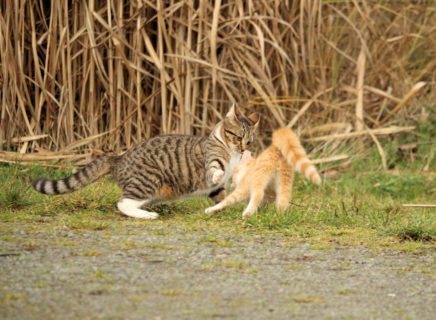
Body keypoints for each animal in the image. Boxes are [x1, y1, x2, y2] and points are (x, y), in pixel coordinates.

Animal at [34, 106, 260, 219]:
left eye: (249, 141)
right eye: (238, 137)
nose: (243, 149)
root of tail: (119, 157)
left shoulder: (216, 188)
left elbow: (221, 197)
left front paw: (222, 208)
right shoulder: (211, 162)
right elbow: (214, 170)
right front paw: (220, 174)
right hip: (148, 180)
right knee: (123, 203)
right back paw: (147, 215)